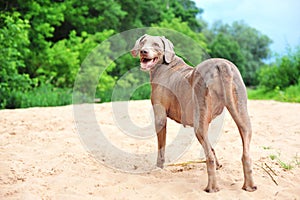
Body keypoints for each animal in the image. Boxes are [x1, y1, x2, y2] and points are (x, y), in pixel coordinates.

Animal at [130, 34, 256, 192]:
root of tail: (222, 65)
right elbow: (212, 147)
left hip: (200, 115)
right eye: (143, 43)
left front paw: (158, 168)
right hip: (240, 111)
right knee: (245, 150)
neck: (163, 65)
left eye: (156, 44)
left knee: (209, 157)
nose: (143, 51)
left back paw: (211, 188)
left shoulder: (160, 116)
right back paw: (249, 186)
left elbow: (161, 147)